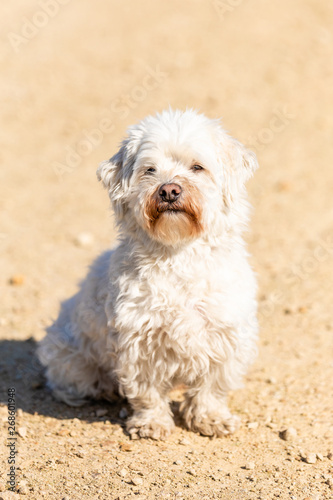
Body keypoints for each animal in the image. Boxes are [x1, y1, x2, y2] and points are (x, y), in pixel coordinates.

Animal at [37, 108, 258, 438]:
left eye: (197, 167)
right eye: (149, 170)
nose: (168, 190)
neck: (179, 254)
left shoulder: (223, 333)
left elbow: (211, 388)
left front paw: (211, 418)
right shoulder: (139, 339)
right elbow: (147, 390)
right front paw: (151, 423)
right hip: (67, 354)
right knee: (68, 382)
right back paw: (104, 389)